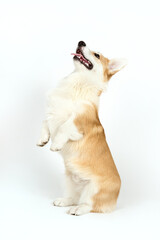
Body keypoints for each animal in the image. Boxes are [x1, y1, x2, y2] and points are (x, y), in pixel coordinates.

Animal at [36, 41, 126, 216]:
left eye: (97, 55)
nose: (81, 42)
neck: (77, 83)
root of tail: (116, 199)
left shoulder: (78, 122)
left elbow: (64, 127)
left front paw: (55, 144)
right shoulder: (52, 113)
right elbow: (44, 123)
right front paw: (42, 139)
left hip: (93, 189)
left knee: (89, 205)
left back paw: (77, 209)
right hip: (68, 179)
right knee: (73, 197)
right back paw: (64, 201)